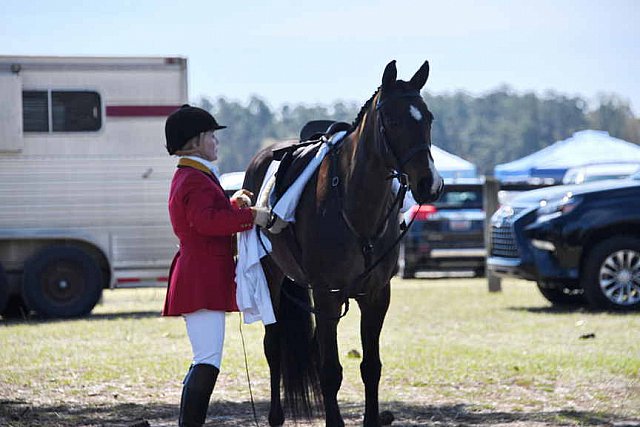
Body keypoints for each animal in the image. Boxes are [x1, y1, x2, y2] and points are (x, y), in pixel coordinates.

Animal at [242, 61, 442, 427]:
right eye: (393, 121)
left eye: (428, 118)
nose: (429, 184)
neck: (354, 203)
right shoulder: (327, 297)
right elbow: (330, 371)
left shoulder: (376, 296)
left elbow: (371, 367)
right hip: (272, 277)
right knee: (274, 346)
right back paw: (276, 416)